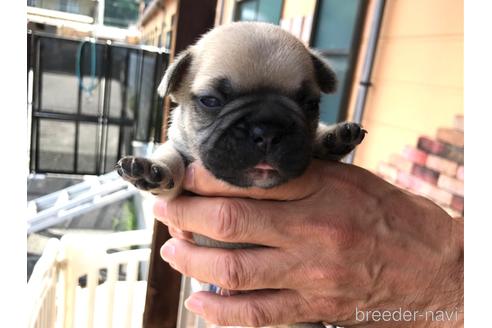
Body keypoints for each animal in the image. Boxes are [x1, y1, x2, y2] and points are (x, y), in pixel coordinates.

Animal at [117, 21, 368, 326]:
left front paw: (331, 139)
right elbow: (171, 161)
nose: (268, 130)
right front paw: (153, 171)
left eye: (311, 105)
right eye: (210, 101)